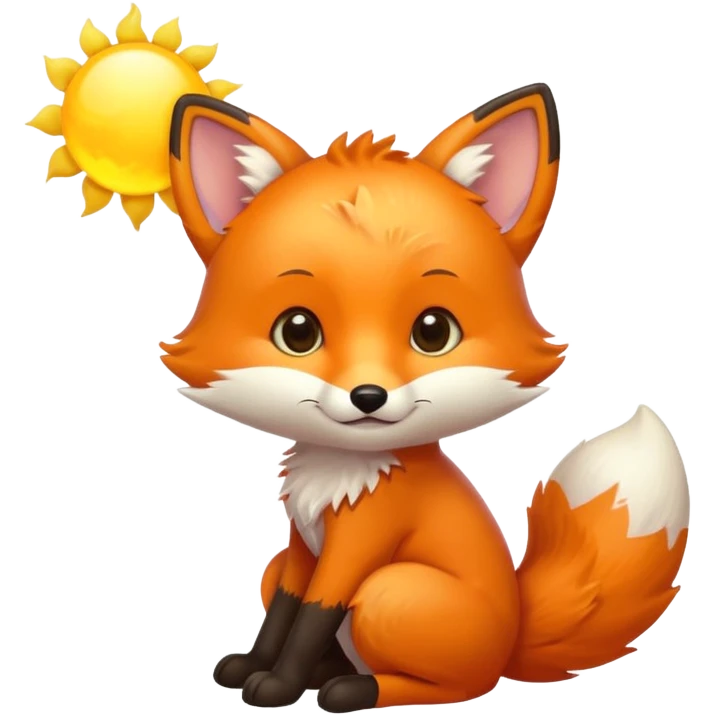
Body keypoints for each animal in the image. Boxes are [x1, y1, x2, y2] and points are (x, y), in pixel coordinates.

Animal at [159, 83, 691, 711]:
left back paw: (351, 688)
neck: (342, 474)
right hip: (287, 570)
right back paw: (329, 674)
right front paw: (254, 666)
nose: (368, 395)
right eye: (298, 331)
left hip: (392, 592)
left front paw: (279, 684)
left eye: (433, 332)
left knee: (459, 685)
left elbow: (312, 616)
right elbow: (285, 612)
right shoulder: (301, 546)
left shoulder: (360, 545)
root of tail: (513, 639)